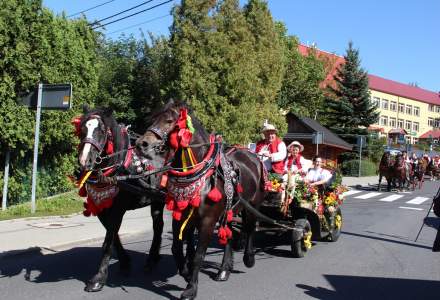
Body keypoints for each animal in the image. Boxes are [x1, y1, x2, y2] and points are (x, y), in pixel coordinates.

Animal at [75, 106, 166, 292]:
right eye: (82, 130)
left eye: (102, 131)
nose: (84, 161)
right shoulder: (102, 208)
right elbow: (113, 235)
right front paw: (125, 263)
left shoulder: (118, 208)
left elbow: (108, 241)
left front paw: (98, 278)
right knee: (158, 225)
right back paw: (153, 259)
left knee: (158, 226)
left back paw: (152, 259)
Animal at [136, 100, 266, 300]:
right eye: (153, 119)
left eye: (169, 121)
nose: (141, 143)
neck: (200, 174)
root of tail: (253, 157)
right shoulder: (180, 216)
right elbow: (176, 248)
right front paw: (186, 272)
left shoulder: (207, 221)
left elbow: (198, 255)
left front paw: (191, 288)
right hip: (229, 209)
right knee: (229, 234)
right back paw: (224, 270)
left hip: (253, 204)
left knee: (250, 228)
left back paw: (248, 258)